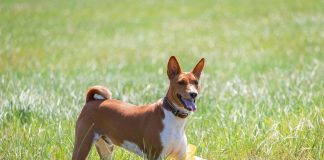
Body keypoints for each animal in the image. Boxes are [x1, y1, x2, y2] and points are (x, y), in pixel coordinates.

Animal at [73, 56, 205, 160]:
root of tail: (91, 101)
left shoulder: (181, 156)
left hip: (106, 149)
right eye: (181, 82)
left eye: (196, 82)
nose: (193, 94)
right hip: (82, 145)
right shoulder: (155, 156)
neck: (174, 118)